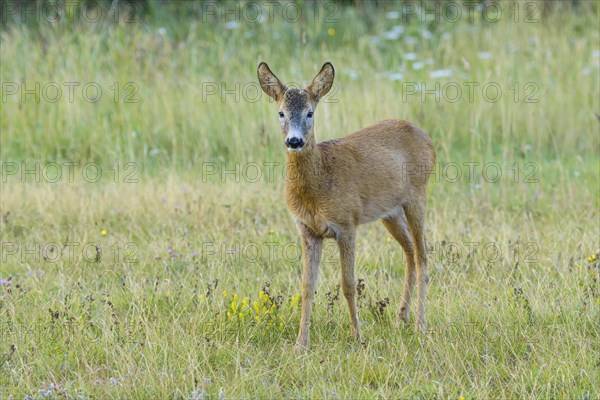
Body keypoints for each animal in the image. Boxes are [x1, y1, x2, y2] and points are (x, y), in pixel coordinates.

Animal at [258, 60, 436, 350]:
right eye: (281, 113)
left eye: (310, 112)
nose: (294, 141)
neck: (319, 186)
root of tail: (427, 138)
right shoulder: (307, 230)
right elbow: (307, 285)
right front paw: (300, 344)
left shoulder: (346, 223)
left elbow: (348, 284)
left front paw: (357, 336)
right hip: (390, 211)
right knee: (409, 251)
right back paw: (401, 318)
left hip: (418, 195)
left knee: (423, 256)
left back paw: (420, 325)